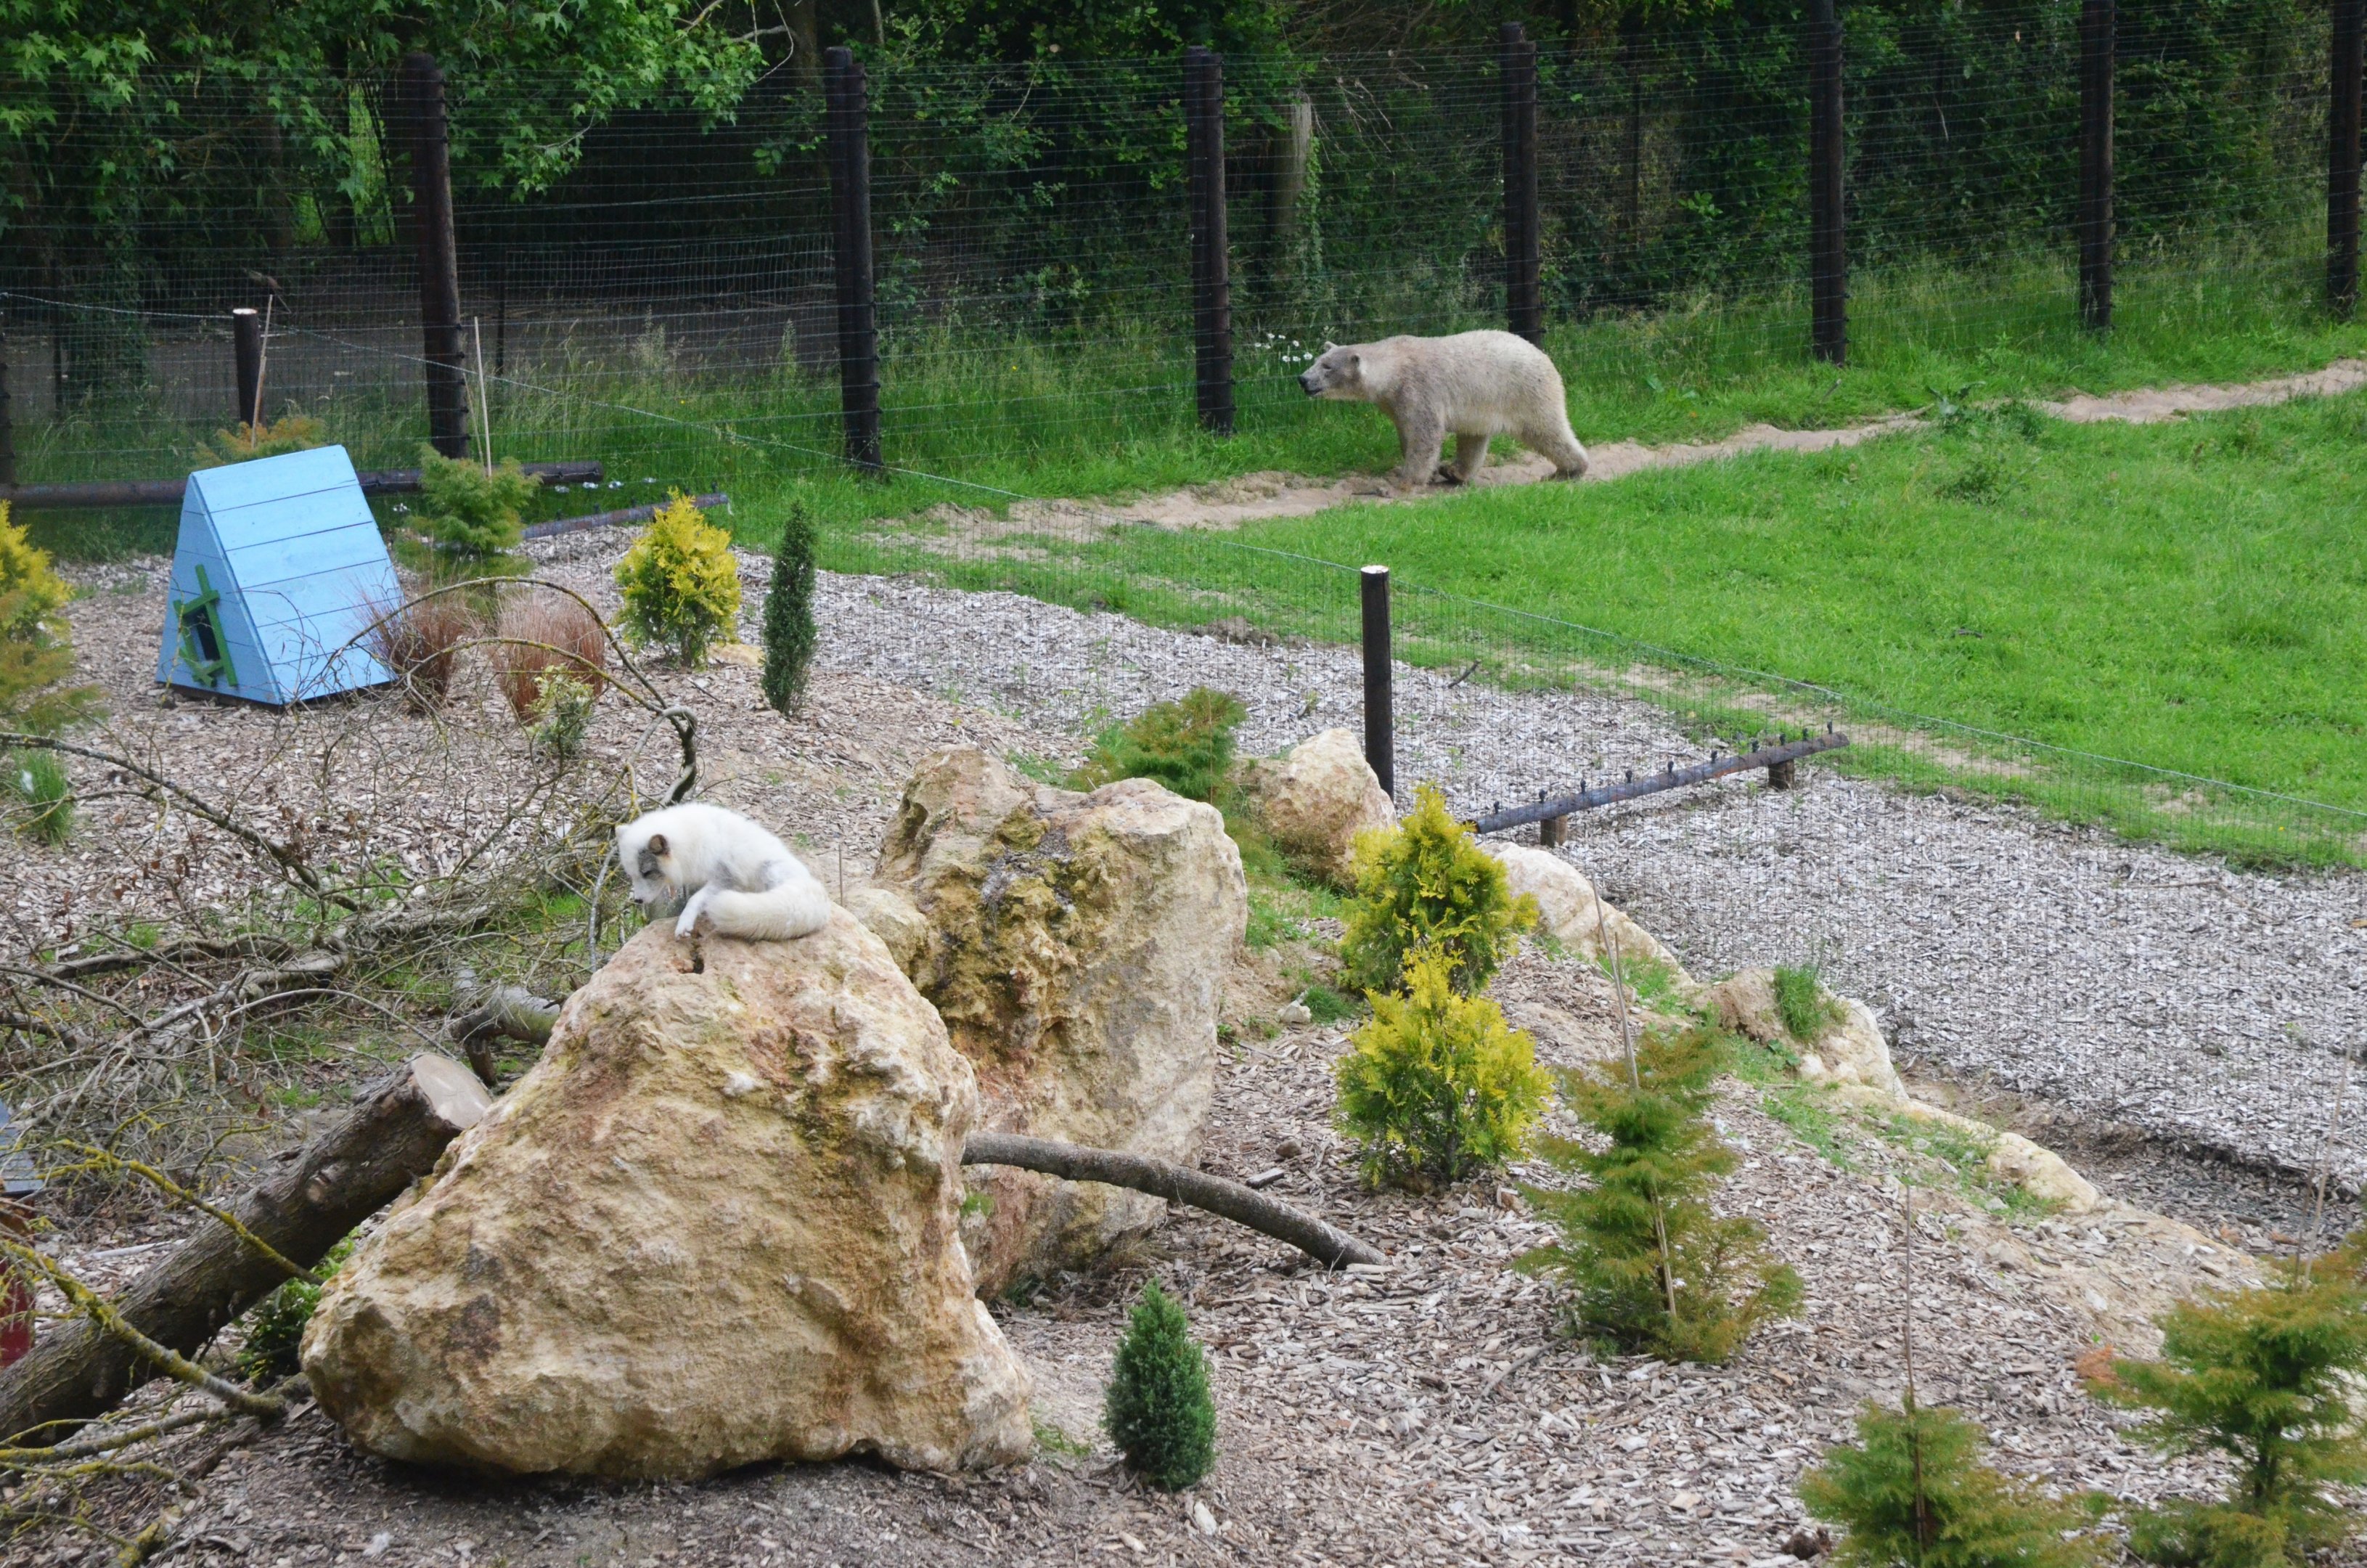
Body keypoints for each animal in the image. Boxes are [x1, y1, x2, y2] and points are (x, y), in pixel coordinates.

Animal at [615, 802, 832, 942]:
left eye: (647, 873)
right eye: (632, 875)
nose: (638, 901)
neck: (692, 841)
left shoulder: (726, 878)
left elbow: (695, 900)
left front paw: (684, 923)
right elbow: (691, 896)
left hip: (770, 872)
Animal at [1298, 330, 1590, 492]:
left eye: (1327, 367)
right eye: (1317, 360)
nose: (1302, 379)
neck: (1394, 367)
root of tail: (1544, 356)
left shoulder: (1419, 389)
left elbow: (1426, 435)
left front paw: (1402, 483)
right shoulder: (1394, 401)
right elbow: (1407, 433)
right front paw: (1430, 470)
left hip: (1525, 392)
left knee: (1546, 430)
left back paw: (1567, 471)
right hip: (1483, 403)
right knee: (1473, 437)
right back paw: (1454, 472)